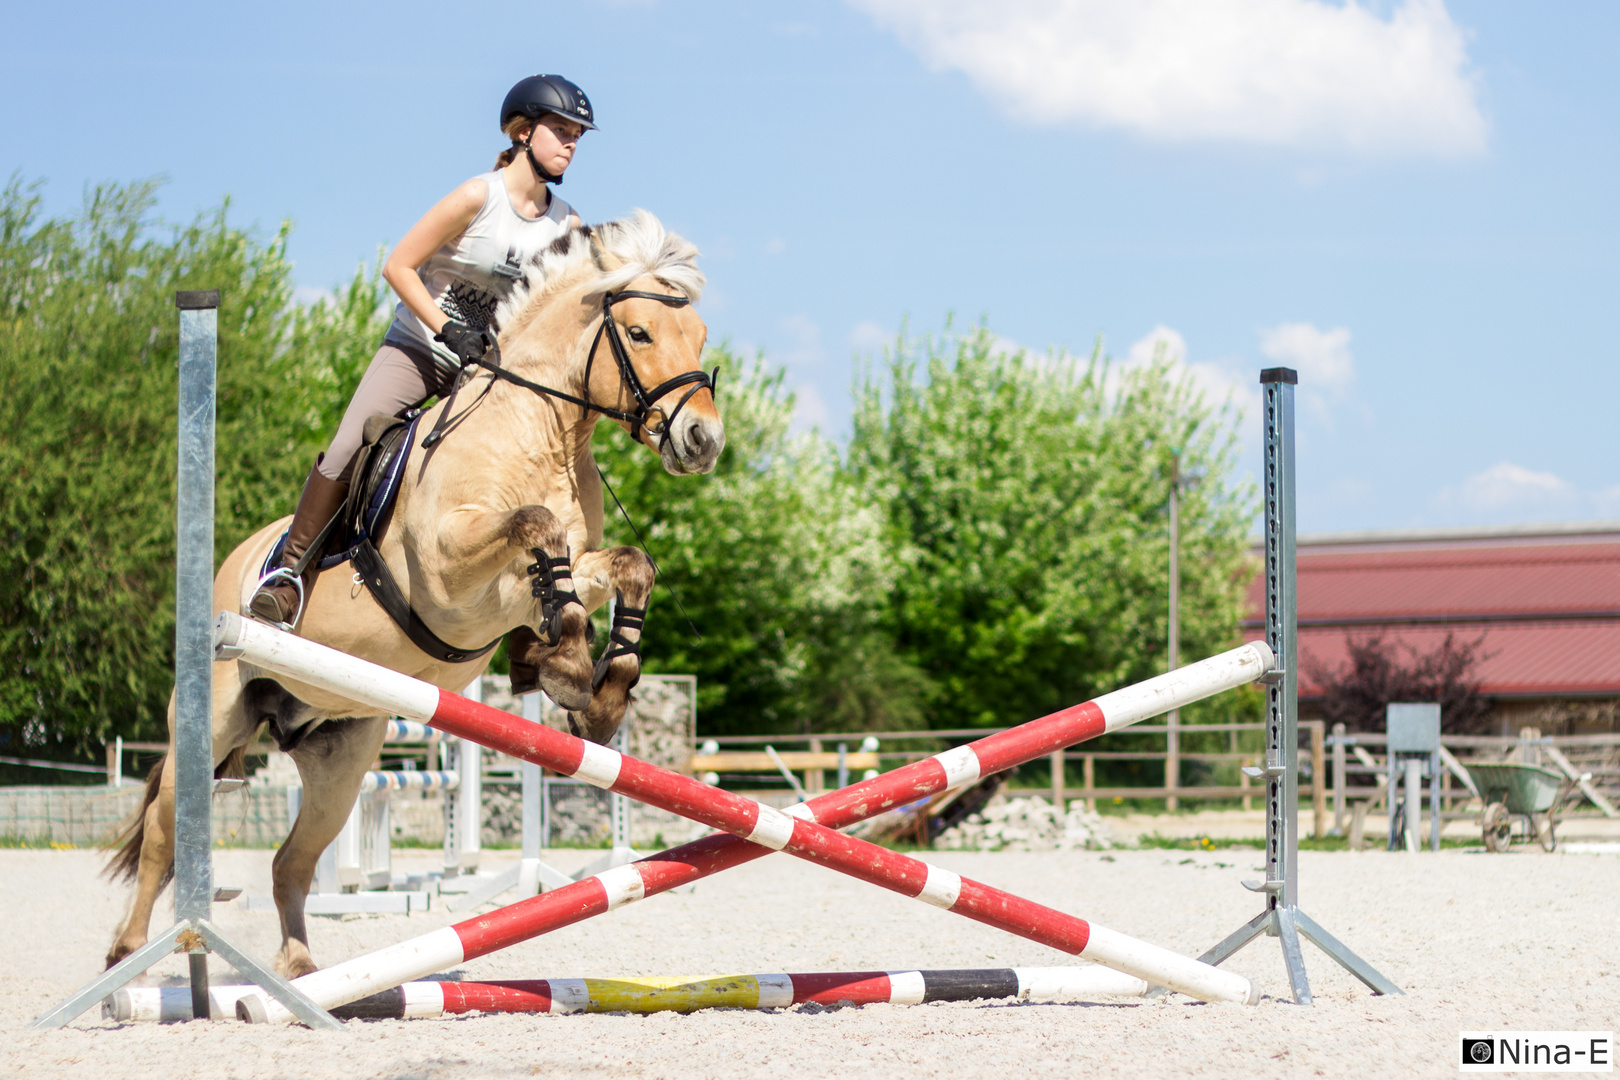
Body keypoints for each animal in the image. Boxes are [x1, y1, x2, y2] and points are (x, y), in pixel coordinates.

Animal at [104, 210, 725, 977]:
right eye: (639, 333)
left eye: (699, 337)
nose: (702, 440)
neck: (538, 430)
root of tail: (235, 563)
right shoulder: (450, 574)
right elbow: (537, 525)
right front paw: (571, 666)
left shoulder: (540, 580)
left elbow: (623, 566)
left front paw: (596, 688)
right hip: (215, 713)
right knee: (165, 834)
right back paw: (127, 958)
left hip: (341, 752)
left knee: (291, 862)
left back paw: (302, 972)